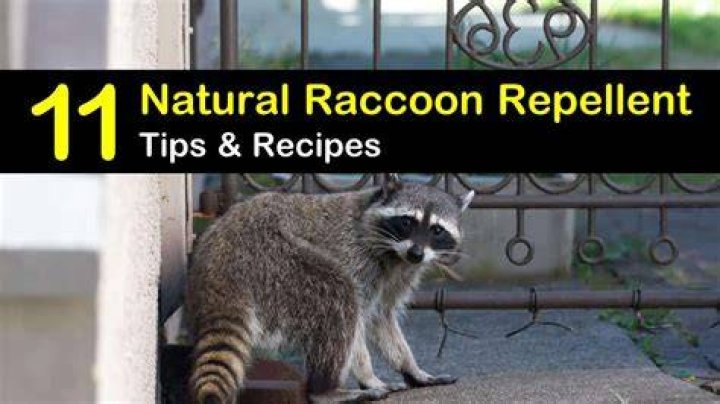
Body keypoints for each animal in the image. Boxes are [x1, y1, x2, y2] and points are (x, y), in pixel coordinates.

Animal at [186, 177, 474, 403]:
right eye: (406, 222)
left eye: (436, 230)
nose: (416, 253)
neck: (395, 253)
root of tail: (221, 265)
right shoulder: (355, 257)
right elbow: (358, 321)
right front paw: (368, 376)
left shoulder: (399, 274)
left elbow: (383, 318)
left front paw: (411, 368)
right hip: (277, 261)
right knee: (338, 295)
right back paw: (325, 390)